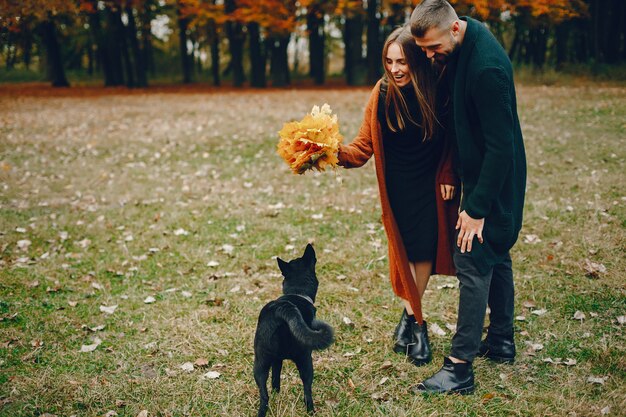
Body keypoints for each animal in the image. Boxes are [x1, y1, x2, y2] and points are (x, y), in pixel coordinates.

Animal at [252, 244, 334, 416]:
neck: (297, 293)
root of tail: (283, 309)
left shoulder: (276, 360)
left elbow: (275, 379)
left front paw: (277, 393)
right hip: (305, 360)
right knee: (307, 390)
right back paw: (311, 411)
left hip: (260, 362)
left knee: (264, 395)